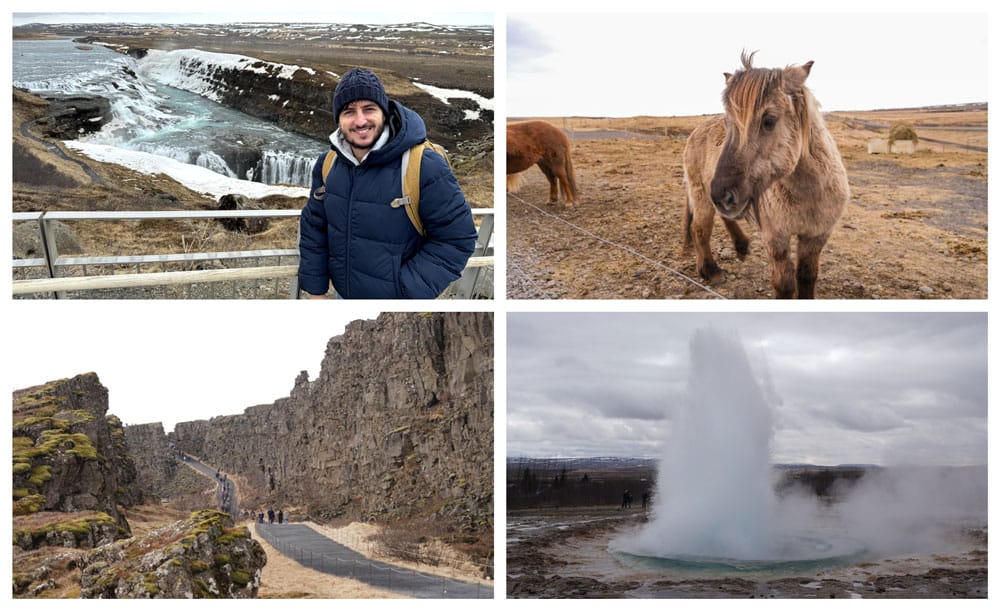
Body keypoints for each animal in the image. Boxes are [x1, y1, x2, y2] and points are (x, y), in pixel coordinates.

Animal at [684, 53, 848, 298]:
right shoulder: (775, 238)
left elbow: (807, 277)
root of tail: (695, 132)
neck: (809, 193)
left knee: (724, 217)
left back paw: (741, 245)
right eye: (728, 123)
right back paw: (710, 270)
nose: (723, 195)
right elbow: (785, 285)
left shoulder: (816, 236)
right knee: (700, 229)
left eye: (768, 120)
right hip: (701, 195)